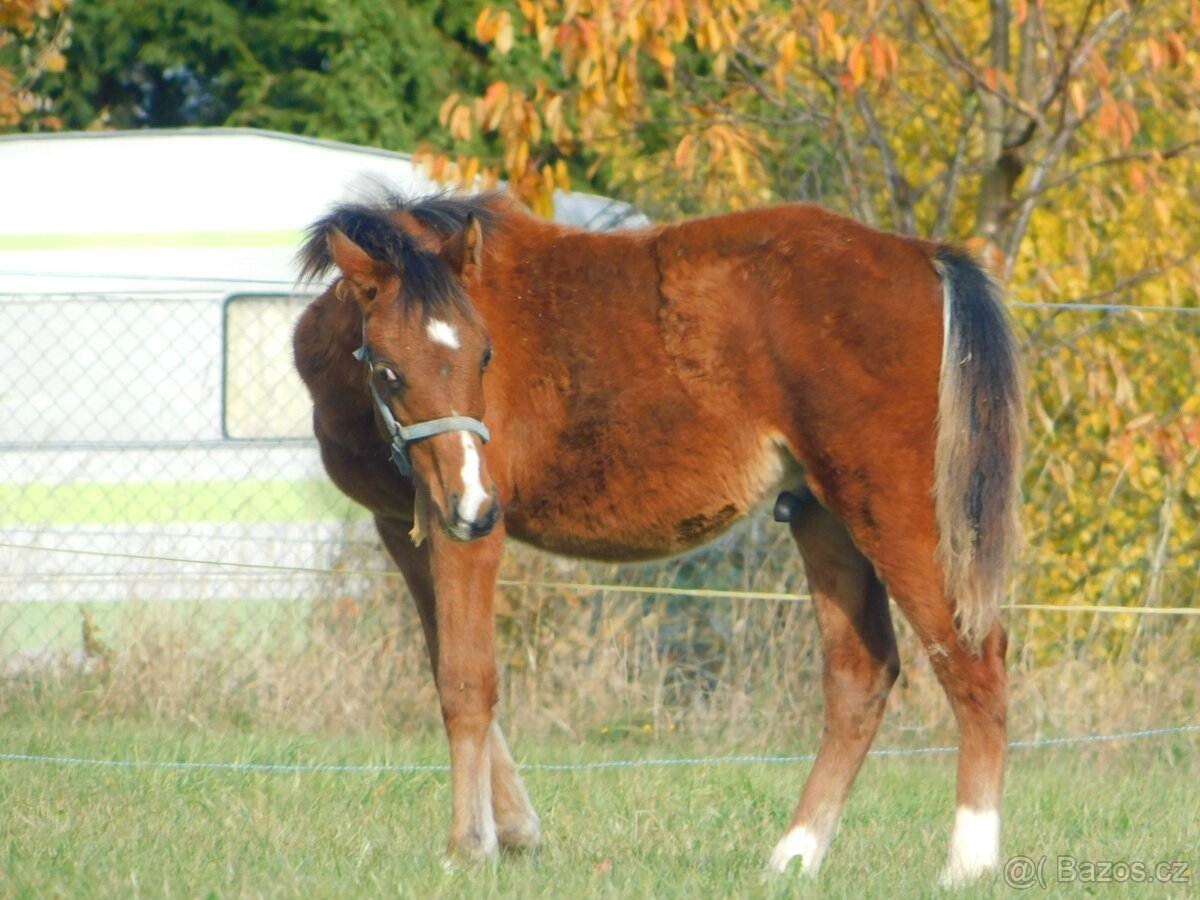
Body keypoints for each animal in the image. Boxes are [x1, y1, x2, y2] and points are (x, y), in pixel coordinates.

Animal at [292, 189, 1023, 885]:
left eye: (485, 354)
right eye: (388, 369)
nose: (475, 501)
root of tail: (925, 257)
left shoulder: (466, 537)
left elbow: (468, 682)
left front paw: (471, 848)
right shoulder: (406, 528)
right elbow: (444, 665)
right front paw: (518, 831)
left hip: (895, 507)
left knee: (973, 658)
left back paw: (969, 862)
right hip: (824, 516)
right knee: (861, 673)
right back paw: (793, 857)